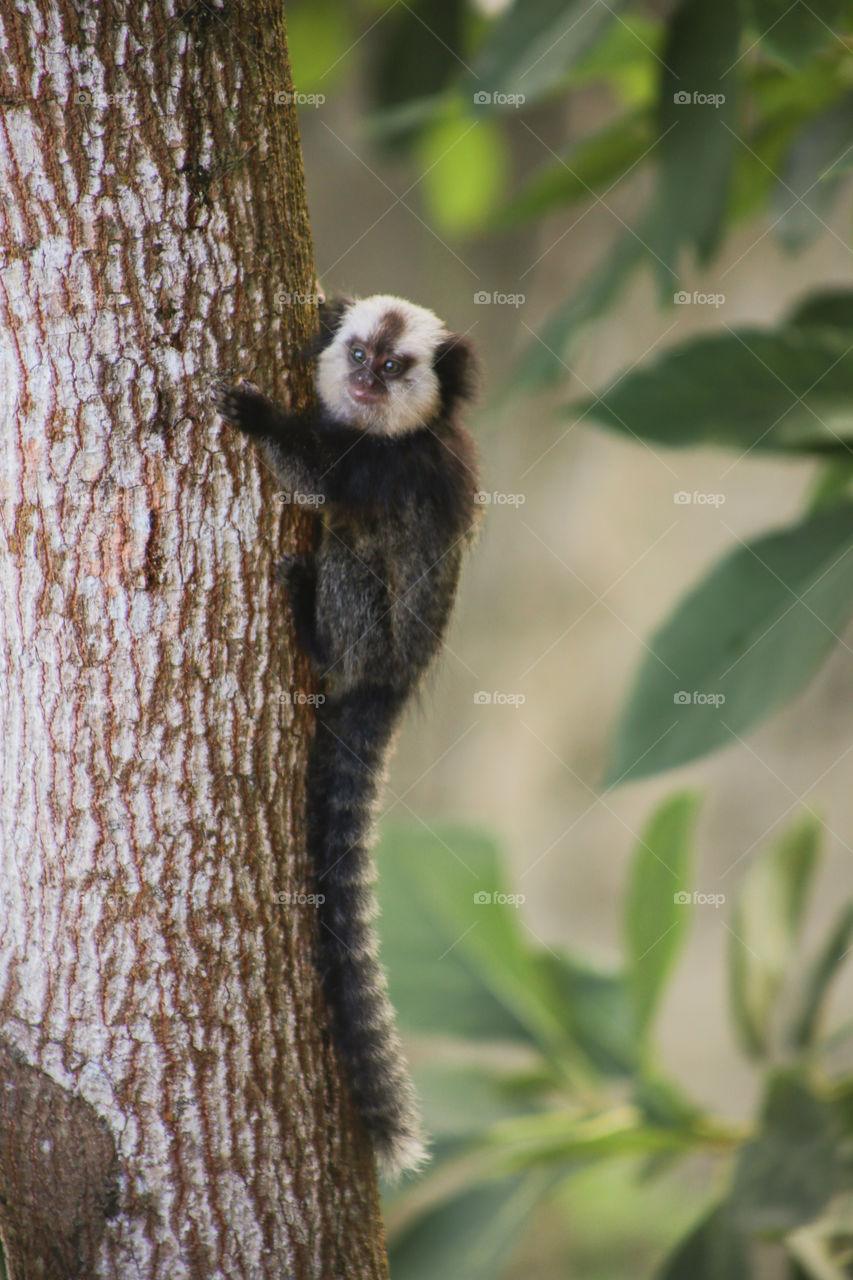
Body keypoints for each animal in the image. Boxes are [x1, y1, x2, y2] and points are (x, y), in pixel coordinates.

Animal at [212, 294, 479, 1177]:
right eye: (359, 352)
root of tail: (391, 685)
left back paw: (312, 628)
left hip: (373, 635)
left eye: (394, 367)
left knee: (345, 555)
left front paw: (260, 417)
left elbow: (319, 483)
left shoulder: (383, 470)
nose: (366, 380)